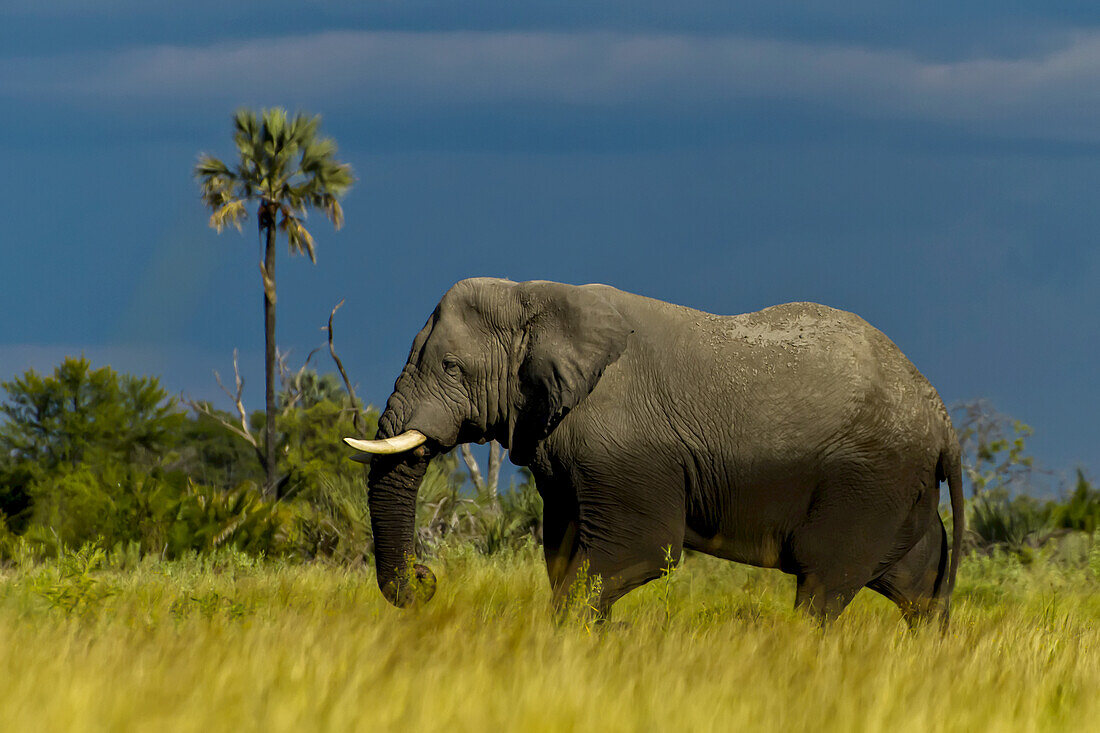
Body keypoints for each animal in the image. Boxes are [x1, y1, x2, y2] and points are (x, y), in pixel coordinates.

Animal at [349, 278, 963, 620]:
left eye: (452, 367)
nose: (427, 578)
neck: (535, 297)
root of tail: (943, 419)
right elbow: (563, 556)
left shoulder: (626, 449)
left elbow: (639, 552)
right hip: (895, 489)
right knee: (917, 586)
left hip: (870, 478)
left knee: (822, 586)